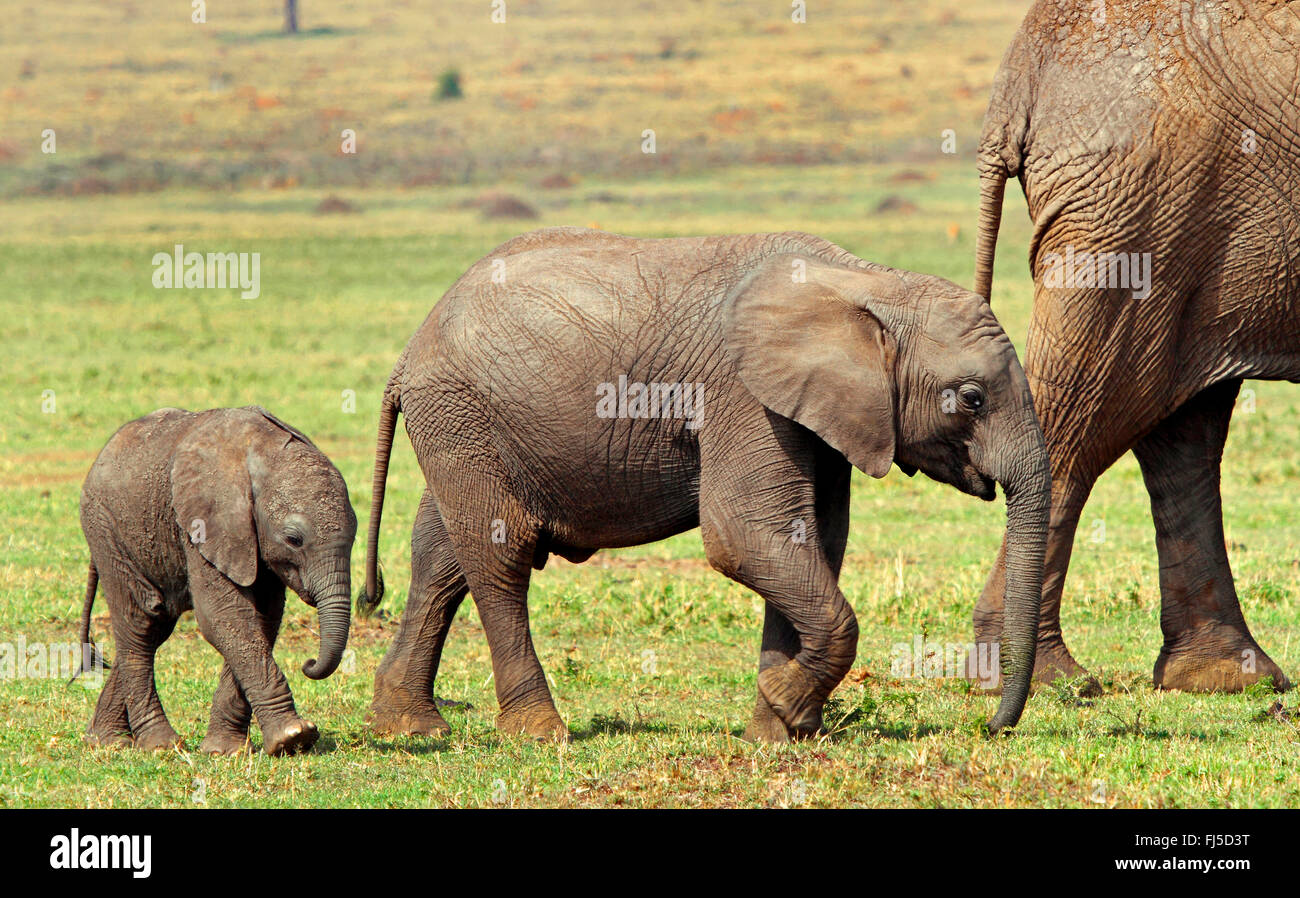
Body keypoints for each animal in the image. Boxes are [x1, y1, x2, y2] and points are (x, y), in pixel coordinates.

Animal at [80, 405, 356, 753]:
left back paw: (107, 740)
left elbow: (262, 618)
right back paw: (159, 744)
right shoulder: (204, 523)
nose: (308, 664)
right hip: (106, 529)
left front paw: (225, 751)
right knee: (140, 621)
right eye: (294, 539)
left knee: (156, 625)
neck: (263, 451)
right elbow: (223, 616)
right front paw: (294, 737)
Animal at [361, 228, 1050, 743]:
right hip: (461, 413)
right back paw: (538, 732)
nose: (995, 726)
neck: (866, 282)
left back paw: (410, 728)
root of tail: (407, 352)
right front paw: (784, 705)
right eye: (971, 397)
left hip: (465, 427)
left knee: (441, 556)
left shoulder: (822, 411)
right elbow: (741, 535)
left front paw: (776, 732)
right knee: (498, 556)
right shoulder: (743, 396)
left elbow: (811, 541)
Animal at [977, 0, 1300, 696]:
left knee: (1180, 428)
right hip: (1136, 211)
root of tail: (1019, 71)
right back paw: (1050, 682)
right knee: (1089, 418)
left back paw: (1229, 679)